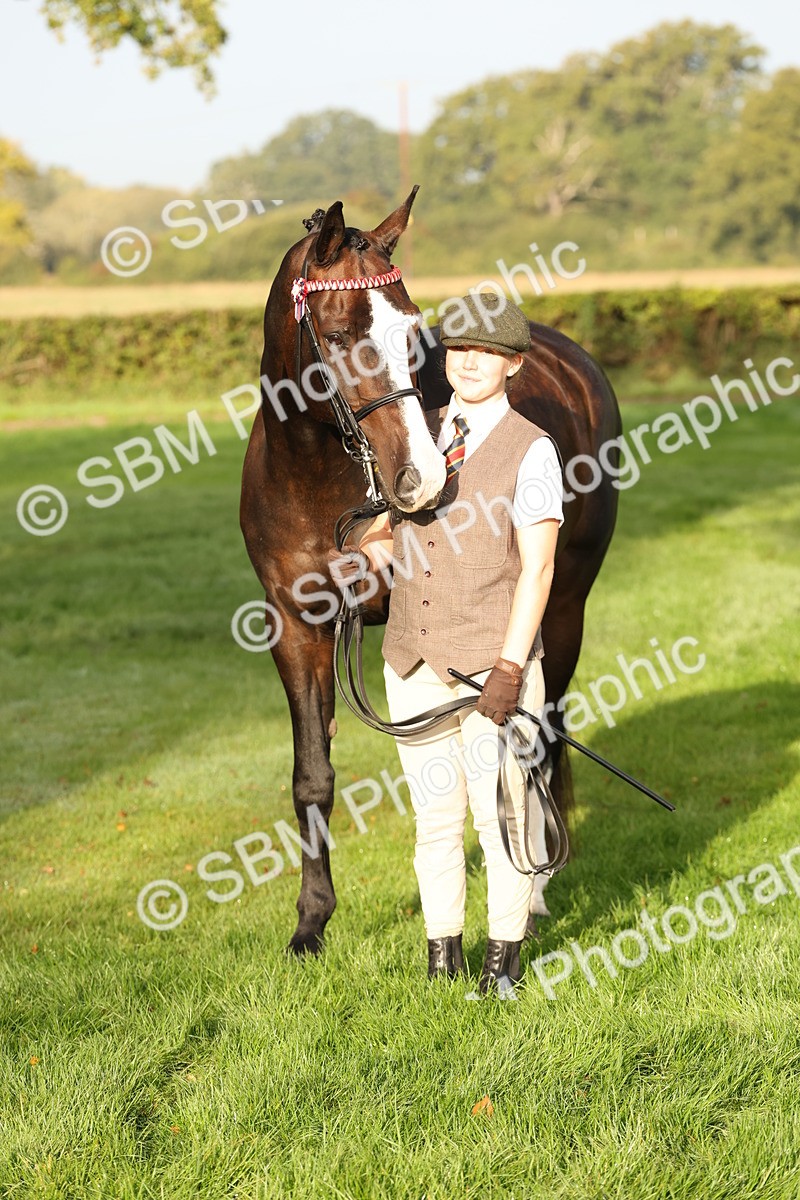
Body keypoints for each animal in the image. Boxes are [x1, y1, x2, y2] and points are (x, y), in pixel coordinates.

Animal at [240, 188, 621, 955]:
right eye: (336, 335)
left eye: (413, 331)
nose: (418, 480)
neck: (311, 477)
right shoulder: (295, 626)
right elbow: (312, 776)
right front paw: (311, 922)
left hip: (560, 608)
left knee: (538, 739)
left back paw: (536, 893)